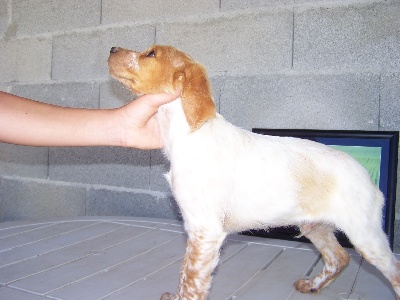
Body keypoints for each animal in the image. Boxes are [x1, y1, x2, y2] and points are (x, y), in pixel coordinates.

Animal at [108, 45, 400, 300]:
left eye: (151, 54)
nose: (112, 48)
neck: (189, 134)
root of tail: (367, 176)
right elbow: (184, 276)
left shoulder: (205, 230)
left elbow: (191, 281)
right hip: (316, 227)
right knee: (339, 257)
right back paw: (312, 285)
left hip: (364, 234)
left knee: (393, 272)